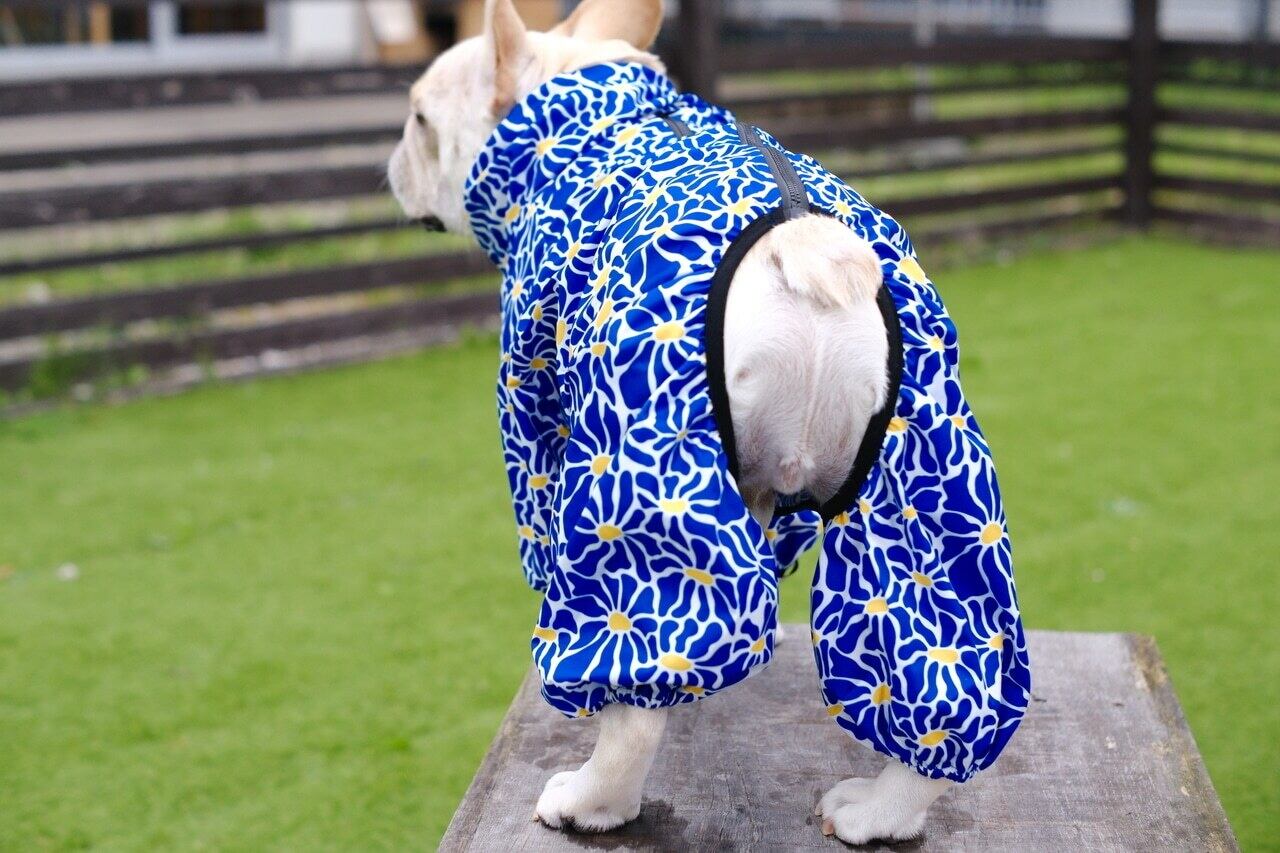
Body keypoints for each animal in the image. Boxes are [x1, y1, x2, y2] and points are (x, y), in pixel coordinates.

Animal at [389, 0, 1029, 844]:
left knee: (635, 688)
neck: (590, 100)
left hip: (638, 469)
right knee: (934, 655)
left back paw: (590, 799)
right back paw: (881, 809)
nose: (394, 161)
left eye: (420, 119)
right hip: (920, 478)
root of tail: (807, 246)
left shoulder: (537, 410)